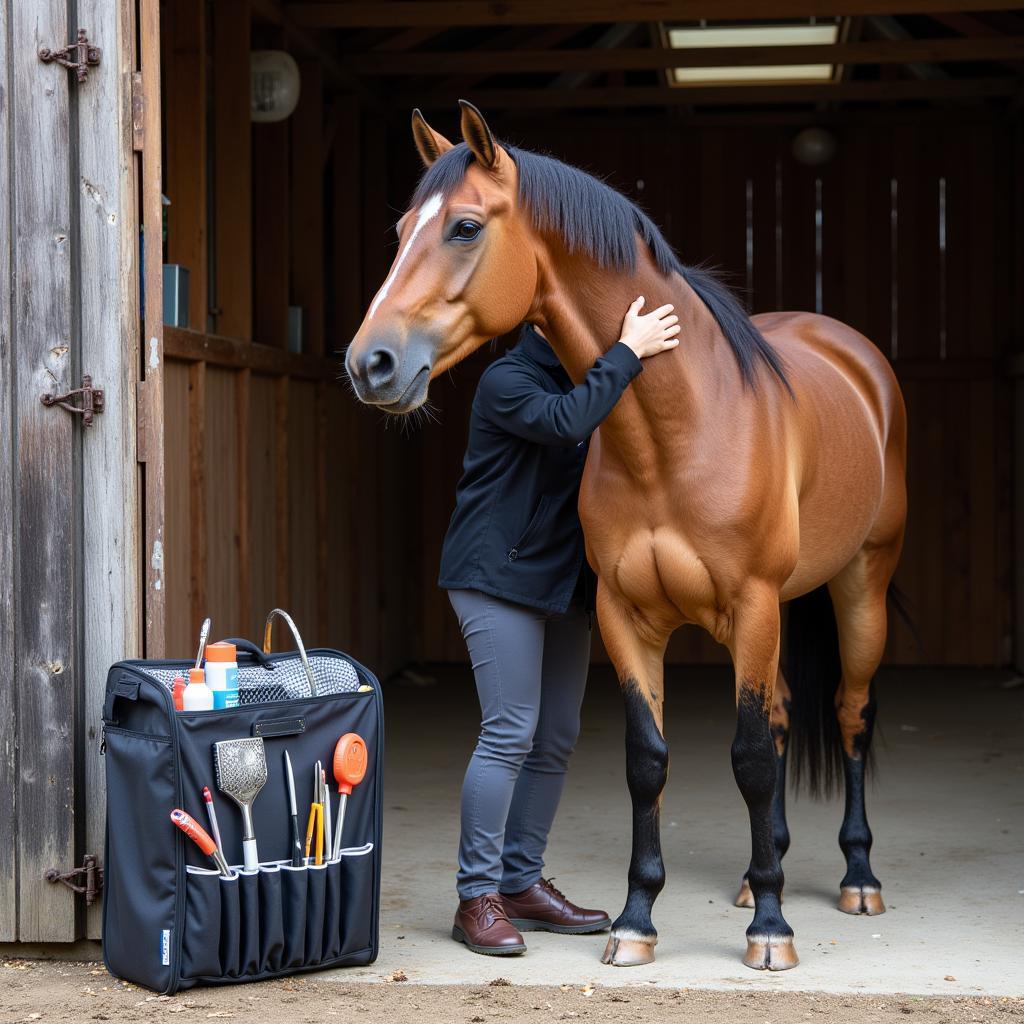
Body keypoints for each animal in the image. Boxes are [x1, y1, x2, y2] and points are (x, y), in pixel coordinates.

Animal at [348, 103, 909, 974]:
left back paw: (856, 877)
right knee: (786, 717)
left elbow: (750, 757)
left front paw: (771, 931)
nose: (369, 364)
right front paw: (637, 920)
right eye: (404, 228)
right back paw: (760, 873)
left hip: (860, 589)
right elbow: (649, 763)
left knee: (850, 716)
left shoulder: (751, 608)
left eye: (465, 226)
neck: (678, 425)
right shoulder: (626, 617)